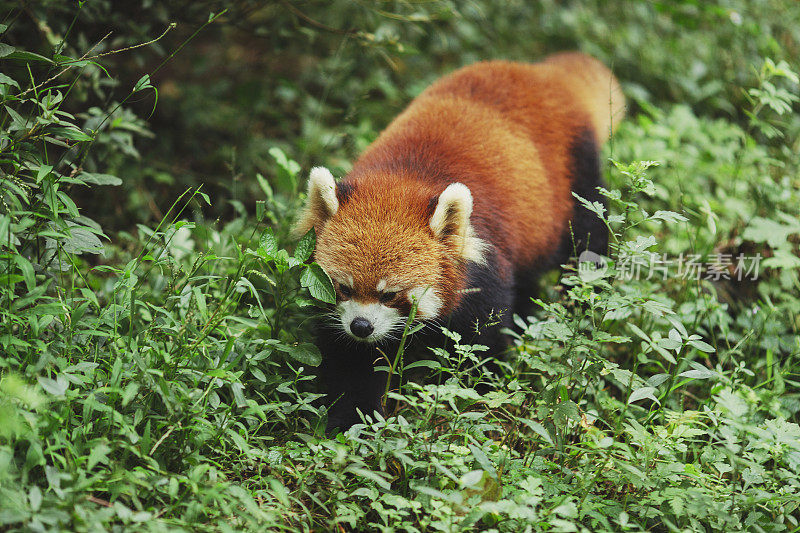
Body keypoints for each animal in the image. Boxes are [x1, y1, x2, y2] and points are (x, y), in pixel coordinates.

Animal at [294, 52, 624, 430]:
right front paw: (352, 421)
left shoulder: (483, 270)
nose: (361, 326)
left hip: (577, 175)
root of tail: (542, 74)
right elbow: (350, 363)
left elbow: (480, 344)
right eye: (344, 288)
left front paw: (478, 397)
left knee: (588, 238)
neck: (401, 179)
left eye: (390, 294)